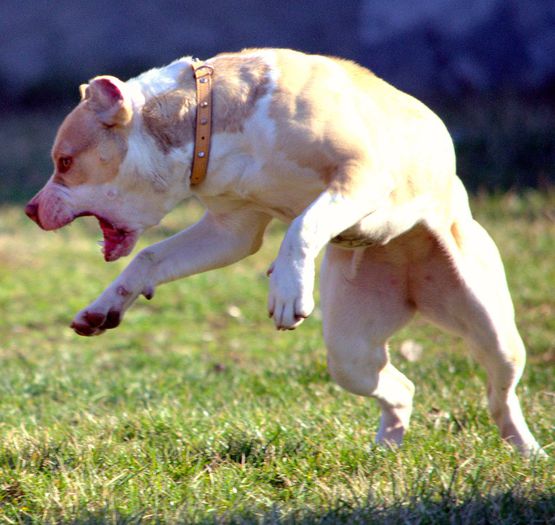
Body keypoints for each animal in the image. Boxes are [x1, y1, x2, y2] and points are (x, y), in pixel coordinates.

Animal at [25, 48, 544, 454]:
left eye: (65, 162)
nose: (30, 209)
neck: (207, 116)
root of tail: (413, 282)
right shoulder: (230, 230)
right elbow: (149, 258)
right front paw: (103, 307)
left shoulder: (360, 175)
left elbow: (304, 222)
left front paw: (287, 289)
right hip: (352, 350)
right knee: (399, 386)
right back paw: (387, 447)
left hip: (490, 325)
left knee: (500, 392)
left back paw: (526, 450)